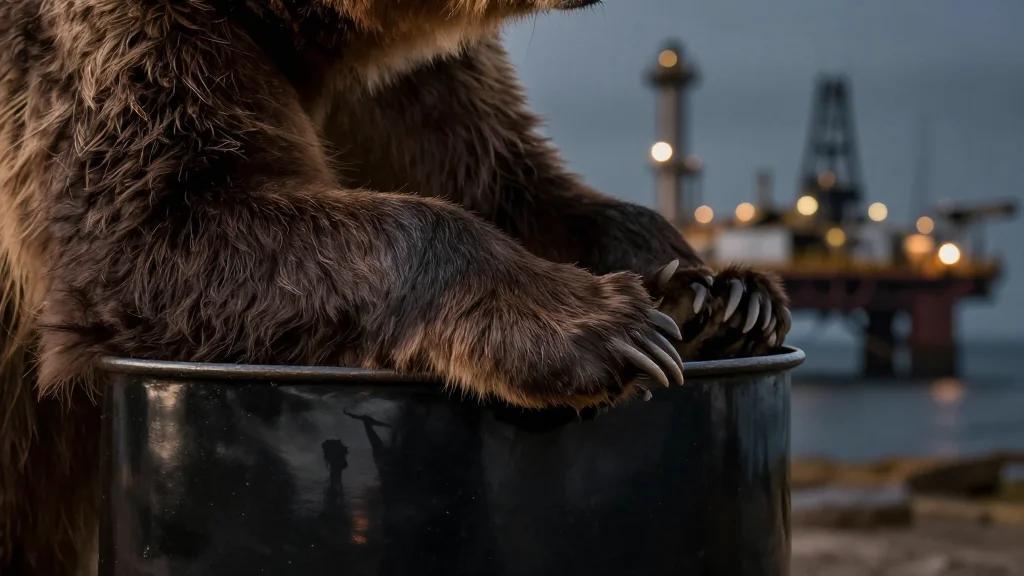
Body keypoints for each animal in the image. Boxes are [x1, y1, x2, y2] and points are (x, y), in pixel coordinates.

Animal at [0, 0, 789, 573]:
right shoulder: (108, 51)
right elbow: (153, 220)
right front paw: (602, 328)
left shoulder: (402, 87)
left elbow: (511, 178)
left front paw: (717, 295)